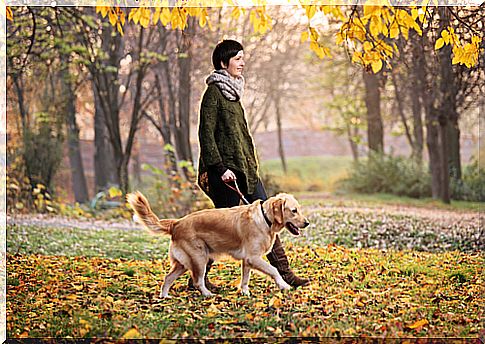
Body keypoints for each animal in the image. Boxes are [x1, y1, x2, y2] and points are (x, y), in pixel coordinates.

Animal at [126, 192, 308, 296]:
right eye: (294, 211)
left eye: (299, 209)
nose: (307, 223)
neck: (265, 218)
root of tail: (176, 223)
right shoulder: (253, 257)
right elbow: (274, 270)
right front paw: (284, 285)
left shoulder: (247, 260)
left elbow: (245, 278)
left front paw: (244, 292)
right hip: (199, 258)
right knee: (198, 281)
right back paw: (207, 295)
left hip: (183, 263)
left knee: (168, 278)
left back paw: (164, 297)